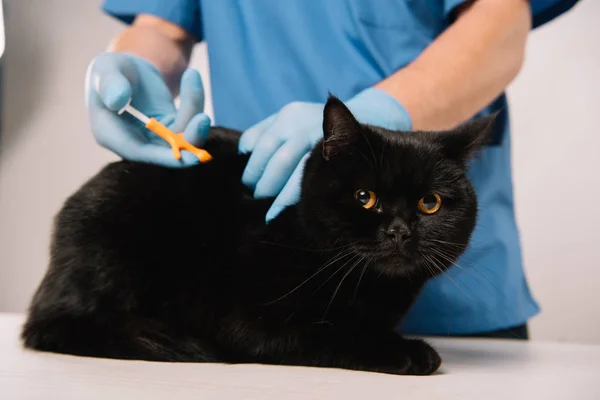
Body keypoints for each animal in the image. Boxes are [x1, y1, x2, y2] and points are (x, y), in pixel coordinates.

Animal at [22, 96, 492, 376]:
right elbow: (332, 333)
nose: (399, 231)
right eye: (365, 197)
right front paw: (406, 351)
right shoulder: (249, 321)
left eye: (430, 204)